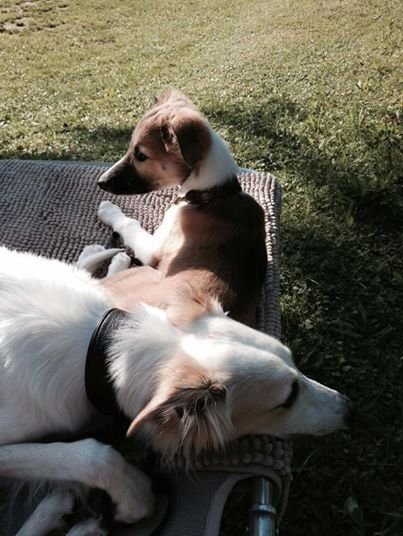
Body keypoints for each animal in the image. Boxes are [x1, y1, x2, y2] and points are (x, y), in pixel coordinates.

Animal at [0, 246, 352, 534]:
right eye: (288, 397)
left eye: (296, 365)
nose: (349, 407)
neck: (99, 347)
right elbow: (92, 455)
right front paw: (136, 497)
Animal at [96, 89, 267, 326]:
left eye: (141, 156)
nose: (100, 182)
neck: (211, 195)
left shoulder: (153, 249)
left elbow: (130, 222)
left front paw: (108, 209)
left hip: (145, 273)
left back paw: (118, 261)